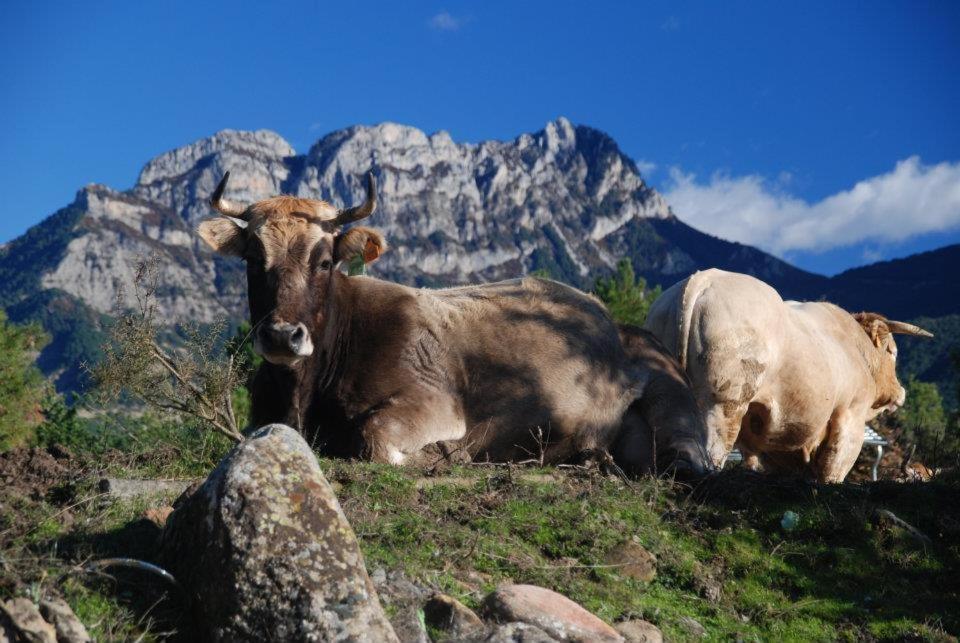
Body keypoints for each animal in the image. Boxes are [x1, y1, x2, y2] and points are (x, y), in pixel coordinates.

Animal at [197, 174, 712, 476]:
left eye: (324, 262)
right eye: (253, 260)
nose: (282, 335)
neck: (304, 394)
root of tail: (618, 324)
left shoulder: (434, 403)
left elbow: (374, 436)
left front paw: (447, 454)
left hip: (671, 399)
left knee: (690, 460)